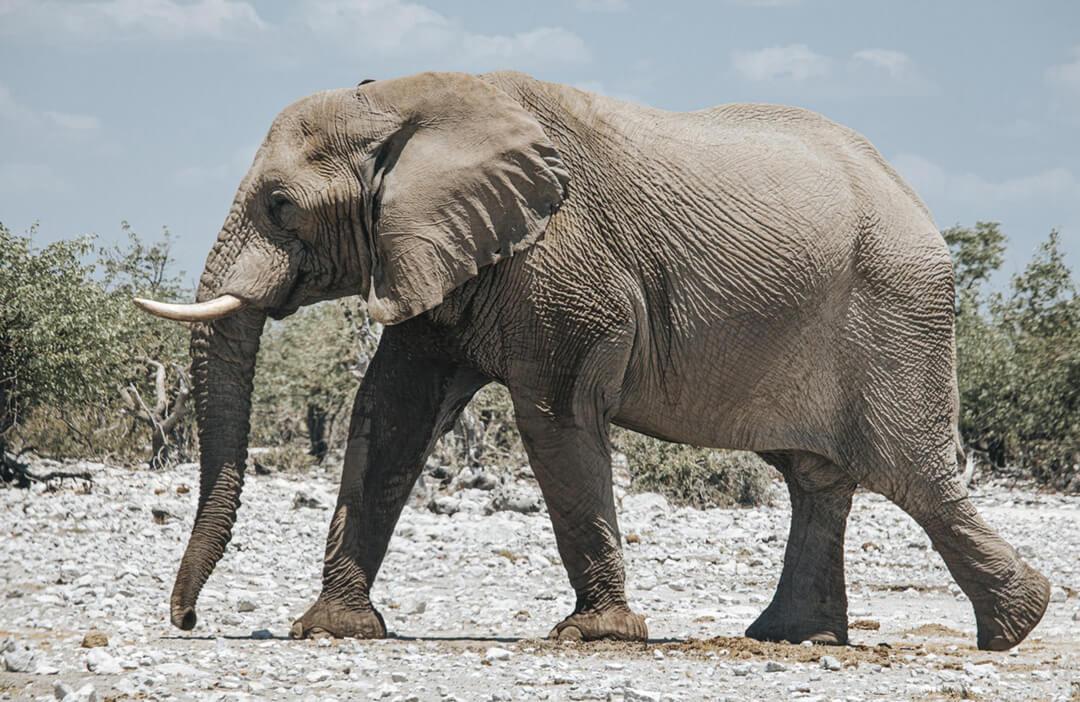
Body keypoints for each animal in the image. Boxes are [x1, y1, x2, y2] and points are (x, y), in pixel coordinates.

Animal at [136, 70, 1050, 651]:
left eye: (281, 207)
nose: (185, 621)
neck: (409, 100)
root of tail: (915, 201)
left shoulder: (561, 262)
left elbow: (556, 416)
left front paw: (594, 636)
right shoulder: (440, 252)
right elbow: (390, 415)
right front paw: (332, 631)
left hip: (899, 312)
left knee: (912, 475)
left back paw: (1016, 627)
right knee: (814, 478)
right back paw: (796, 638)